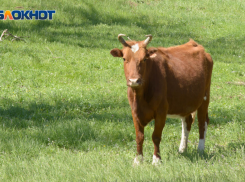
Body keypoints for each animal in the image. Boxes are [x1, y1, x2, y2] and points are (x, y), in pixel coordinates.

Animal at [109, 34, 212, 165]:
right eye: (124, 58)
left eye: (144, 59)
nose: (134, 80)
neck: (140, 96)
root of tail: (194, 44)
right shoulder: (134, 111)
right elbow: (139, 136)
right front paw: (138, 159)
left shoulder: (161, 111)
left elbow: (156, 136)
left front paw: (156, 160)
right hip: (185, 102)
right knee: (187, 121)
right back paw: (182, 149)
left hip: (205, 97)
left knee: (202, 122)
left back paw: (200, 149)